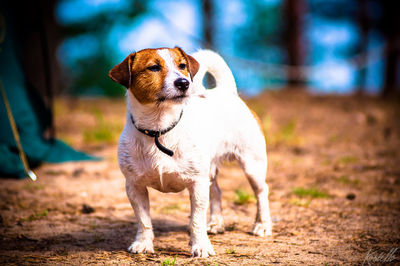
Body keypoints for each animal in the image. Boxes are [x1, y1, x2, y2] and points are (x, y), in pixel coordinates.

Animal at [109, 47, 272, 258]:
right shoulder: (134, 186)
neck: (159, 129)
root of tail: (225, 92)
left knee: (261, 191)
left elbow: (196, 219)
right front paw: (143, 243)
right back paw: (216, 223)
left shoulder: (197, 184)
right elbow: (143, 219)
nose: (183, 82)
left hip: (252, 165)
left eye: (182, 66)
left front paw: (200, 246)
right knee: (217, 190)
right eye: (153, 67)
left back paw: (262, 225)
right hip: (210, 169)